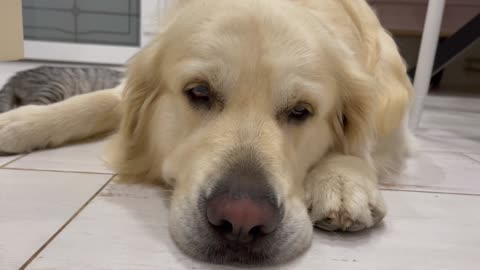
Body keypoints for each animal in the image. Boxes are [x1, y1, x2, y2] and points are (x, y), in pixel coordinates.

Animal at [0, 0, 412, 266]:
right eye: (198, 92)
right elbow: (93, 102)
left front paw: (341, 180)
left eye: (301, 111)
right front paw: (19, 123)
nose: (242, 220)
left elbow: (362, 147)